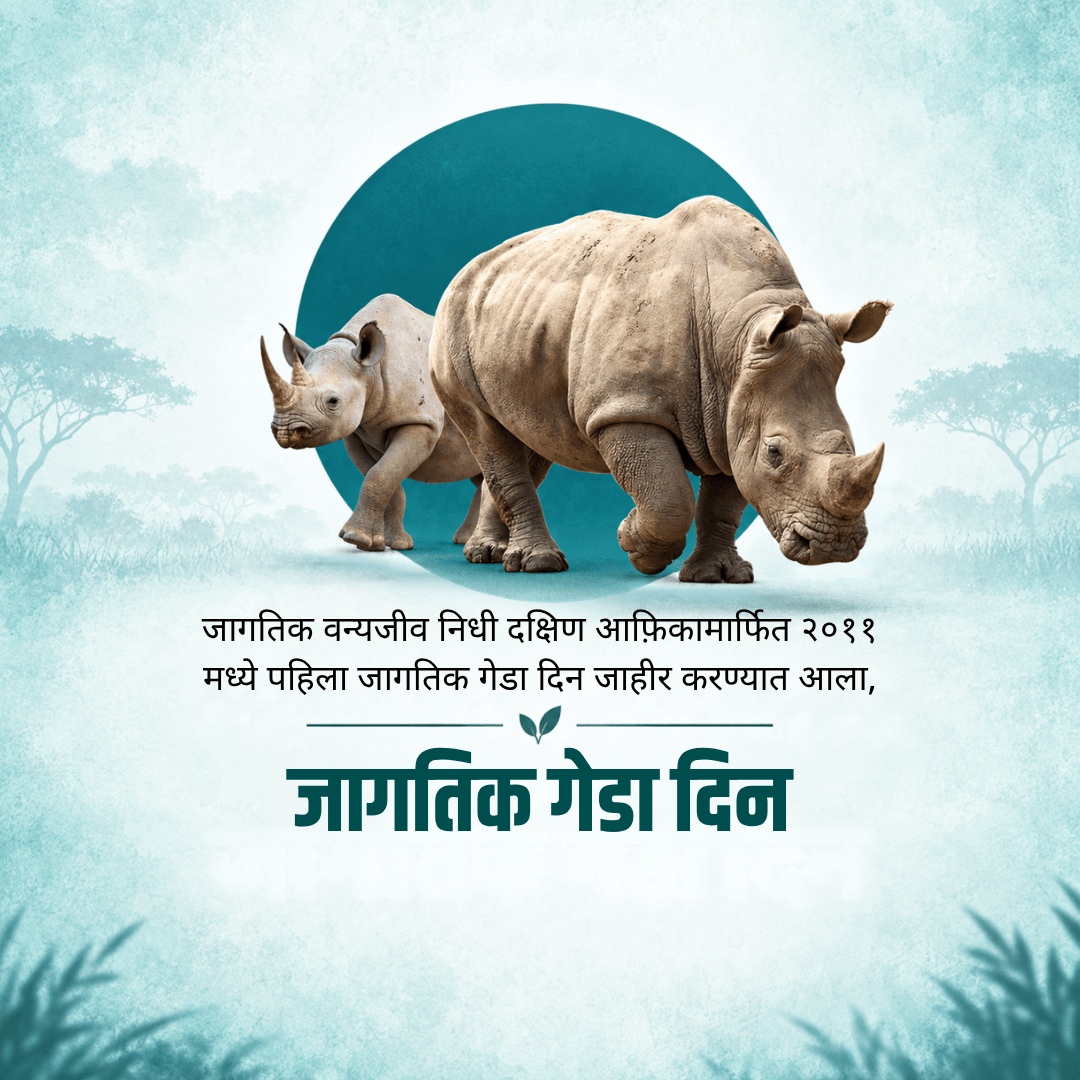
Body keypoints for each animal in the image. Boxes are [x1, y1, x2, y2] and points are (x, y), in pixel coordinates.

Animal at [261, 294, 493, 551]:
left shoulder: (420, 422)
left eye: (333, 401)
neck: (370, 370)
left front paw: (356, 538)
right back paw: (466, 540)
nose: (284, 431)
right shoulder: (357, 431)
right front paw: (390, 543)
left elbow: (379, 475)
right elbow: (382, 477)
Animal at [430, 196, 888, 580]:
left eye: (849, 442)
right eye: (775, 453)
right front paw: (635, 545)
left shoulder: (734, 410)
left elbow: (724, 503)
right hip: (453, 319)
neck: (736, 338)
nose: (834, 547)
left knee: (530, 436)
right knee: (486, 430)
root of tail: (471, 266)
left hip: (519, 317)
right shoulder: (626, 408)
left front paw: (718, 576)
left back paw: (490, 554)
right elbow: (669, 498)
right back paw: (535, 564)